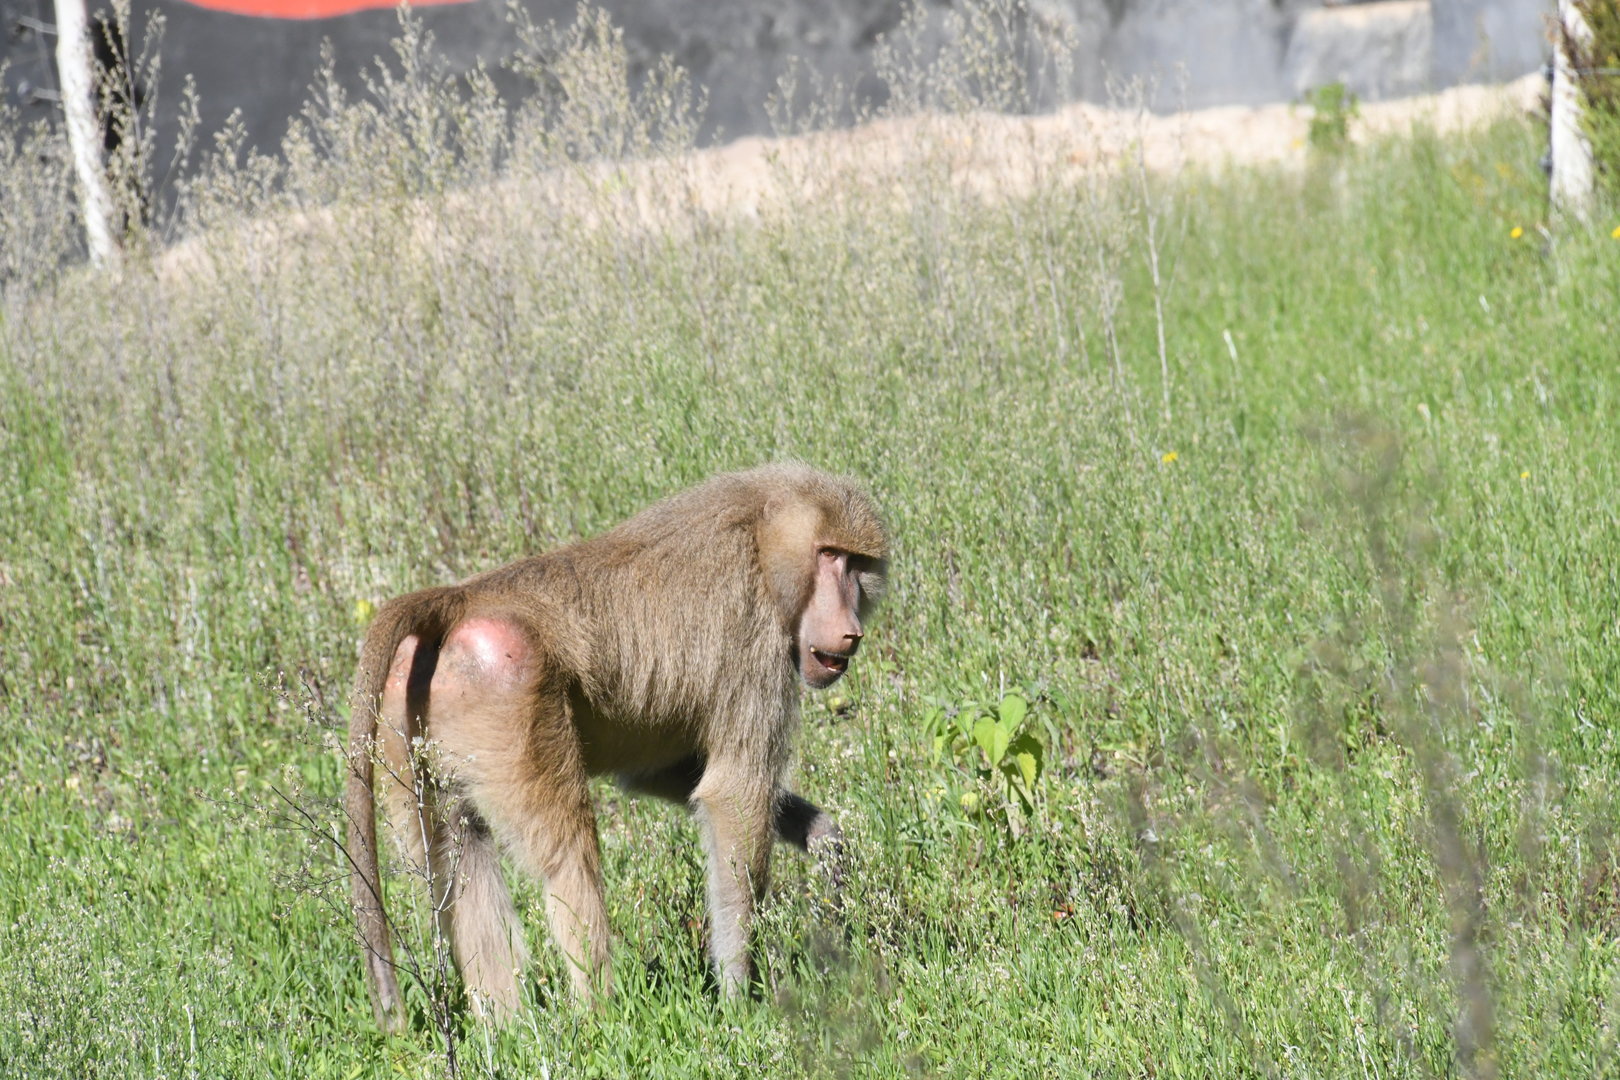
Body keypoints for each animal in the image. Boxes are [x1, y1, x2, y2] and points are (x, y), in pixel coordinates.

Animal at [345, 463, 888, 1030]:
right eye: (829, 556)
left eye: (857, 564)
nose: (850, 631)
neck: (763, 538)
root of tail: (462, 598)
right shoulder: (752, 636)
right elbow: (732, 796)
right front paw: (742, 999)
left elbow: (670, 775)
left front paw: (826, 844)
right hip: (506, 686)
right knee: (567, 859)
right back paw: (601, 1020)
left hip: (408, 717)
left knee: (455, 852)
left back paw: (511, 1030)